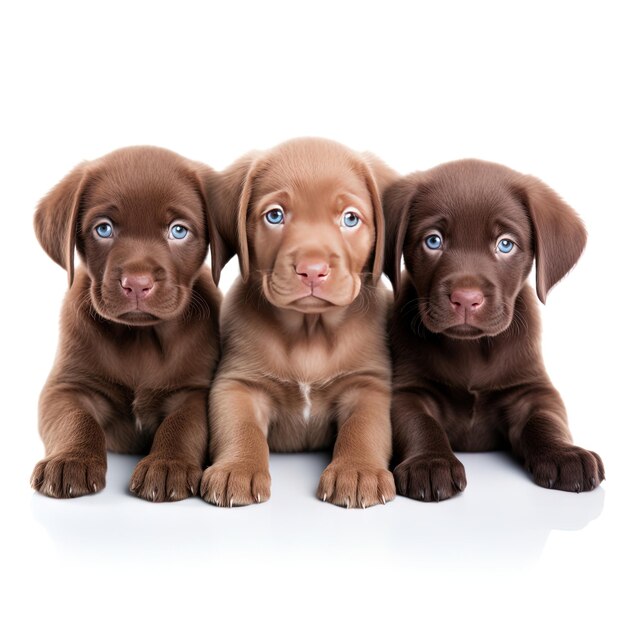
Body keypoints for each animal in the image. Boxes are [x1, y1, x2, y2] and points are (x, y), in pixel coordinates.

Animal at [31, 145, 223, 498]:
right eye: (104, 228)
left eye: (178, 230)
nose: (136, 283)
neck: (140, 338)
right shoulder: (67, 386)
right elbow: (74, 420)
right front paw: (70, 460)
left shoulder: (194, 390)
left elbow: (184, 426)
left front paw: (167, 465)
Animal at [200, 138, 394, 508]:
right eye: (275, 216)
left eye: (350, 219)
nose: (312, 270)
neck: (310, 332)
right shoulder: (238, 383)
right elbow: (240, 428)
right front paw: (236, 469)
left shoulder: (367, 384)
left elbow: (364, 428)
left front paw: (357, 471)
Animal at [382, 158, 604, 500]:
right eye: (433, 240)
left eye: (505, 244)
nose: (466, 299)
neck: (472, 349)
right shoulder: (408, 389)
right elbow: (419, 423)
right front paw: (430, 462)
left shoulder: (530, 389)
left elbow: (546, 419)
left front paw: (565, 454)